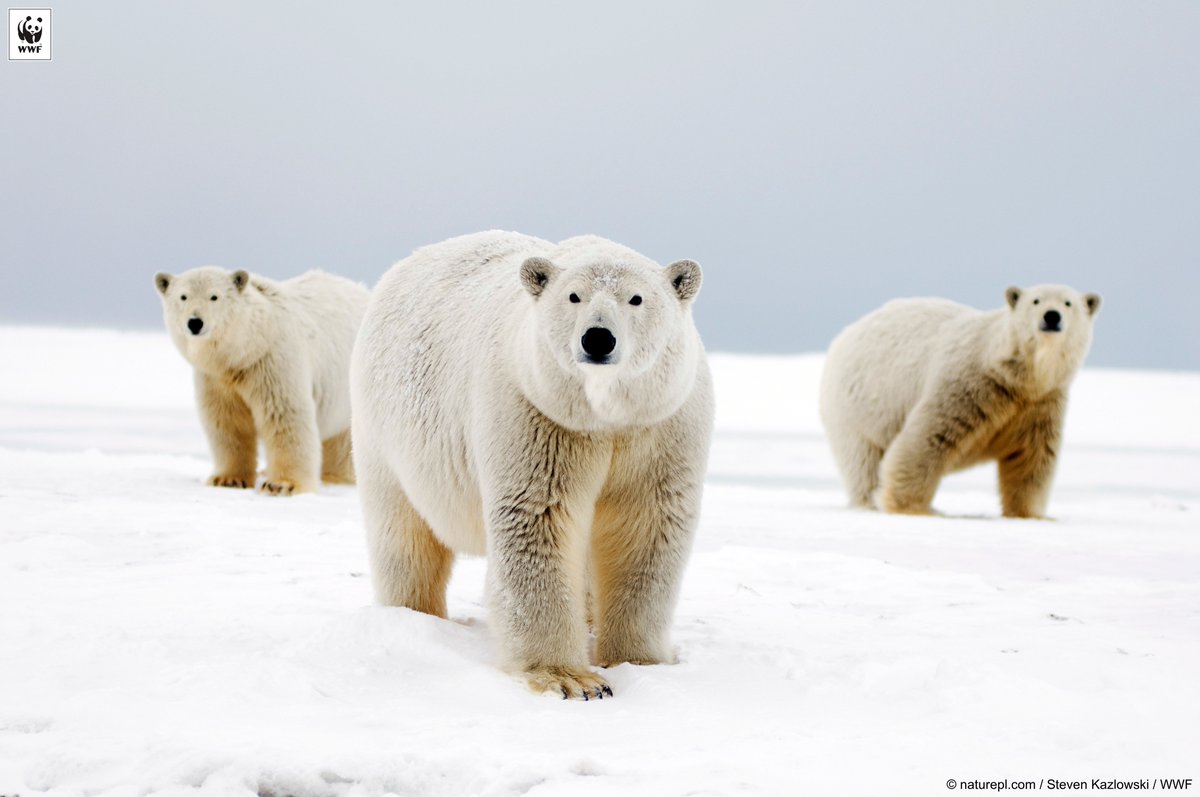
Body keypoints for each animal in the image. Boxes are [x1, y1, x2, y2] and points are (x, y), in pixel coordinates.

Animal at [154, 266, 369, 495]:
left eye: (214, 296)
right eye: (183, 296)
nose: (195, 322)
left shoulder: (272, 363)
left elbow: (285, 415)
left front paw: (282, 484)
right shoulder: (216, 378)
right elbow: (228, 421)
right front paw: (228, 479)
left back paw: (333, 476)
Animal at [351, 231, 714, 699]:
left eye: (636, 298)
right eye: (574, 296)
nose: (598, 339)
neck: (603, 416)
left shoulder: (660, 425)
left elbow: (646, 528)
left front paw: (640, 661)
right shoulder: (537, 414)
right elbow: (538, 519)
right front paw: (572, 679)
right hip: (385, 431)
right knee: (404, 533)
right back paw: (413, 616)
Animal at [819, 284, 1101, 518]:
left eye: (1068, 303)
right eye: (1036, 300)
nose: (1051, 316)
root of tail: (844, 335)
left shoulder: (1040, 404)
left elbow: (1032, 457)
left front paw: (1031, 514)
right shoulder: (967, 384)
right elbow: (927, 439)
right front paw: (910, 508)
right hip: (857, 405)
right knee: (862, 461)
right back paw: (870, 502)